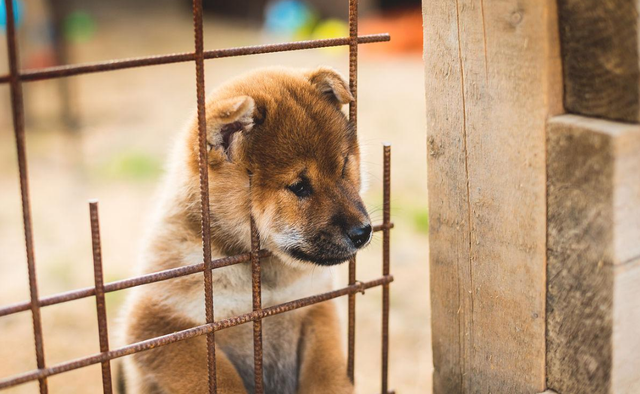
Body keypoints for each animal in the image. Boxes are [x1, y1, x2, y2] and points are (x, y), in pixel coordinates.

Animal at [119, 66, 370, 392]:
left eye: (343, 168)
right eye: (299, 186)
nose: (363, 232)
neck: (266, 280)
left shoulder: (315, 304)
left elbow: (327, 369)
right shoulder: (158, 324)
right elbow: (222, 380)